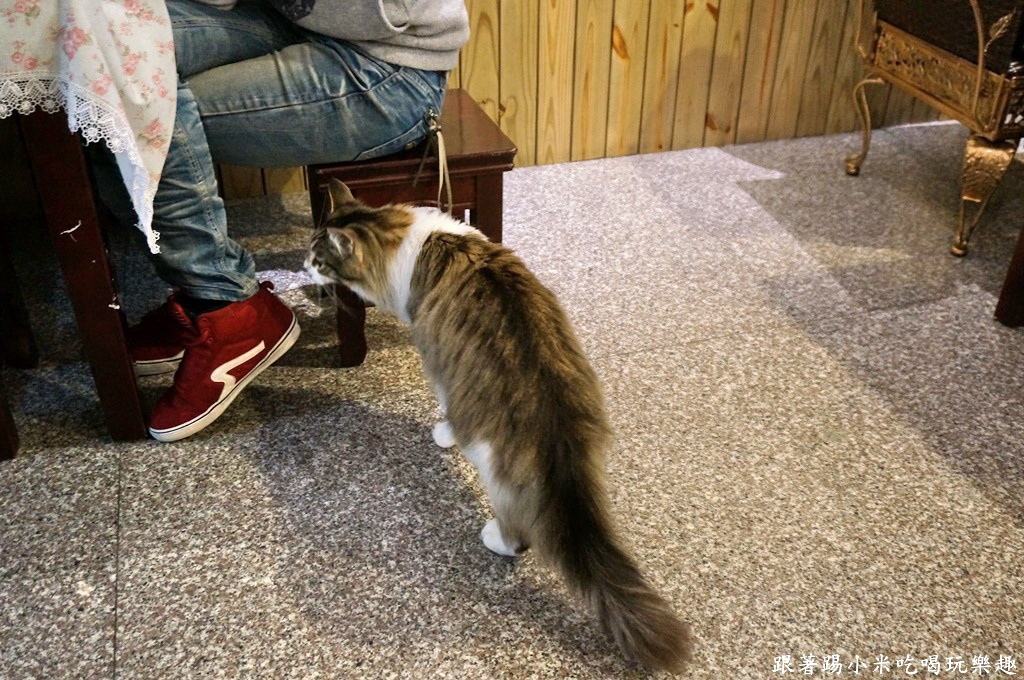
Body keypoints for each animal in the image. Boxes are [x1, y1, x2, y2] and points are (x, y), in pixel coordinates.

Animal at [304, 179, 693, 674]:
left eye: (318, 259)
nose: (301, 265)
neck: (408, 237)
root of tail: (555, 419)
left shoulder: (437, 360)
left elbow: (444, 405)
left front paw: (442, 433)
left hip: (491, 462)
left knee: (518, 532)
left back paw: (494, 537)